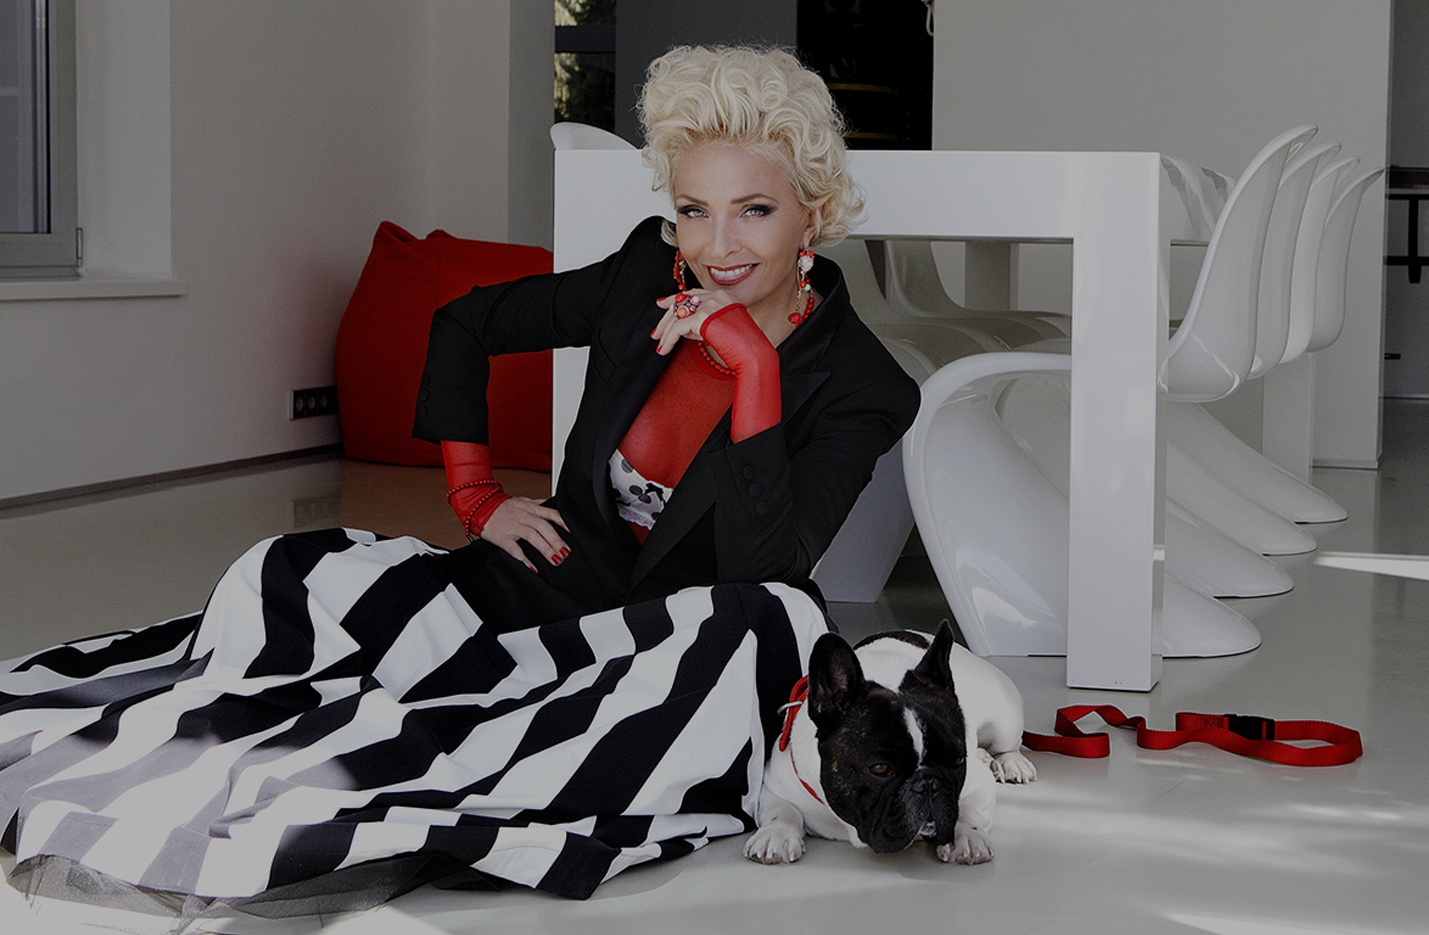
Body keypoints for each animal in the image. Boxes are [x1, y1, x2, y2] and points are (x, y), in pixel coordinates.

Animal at [744, 621, 1035, 865]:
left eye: (957, 761)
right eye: (881, 769)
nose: (928, 784)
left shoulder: (978, 784)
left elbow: (969, 811)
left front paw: (968, 837)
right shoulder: (775, 785)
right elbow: (783, 811)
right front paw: (775, 835)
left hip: (1005, 718)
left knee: (1009, 743)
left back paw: (1011, 762)